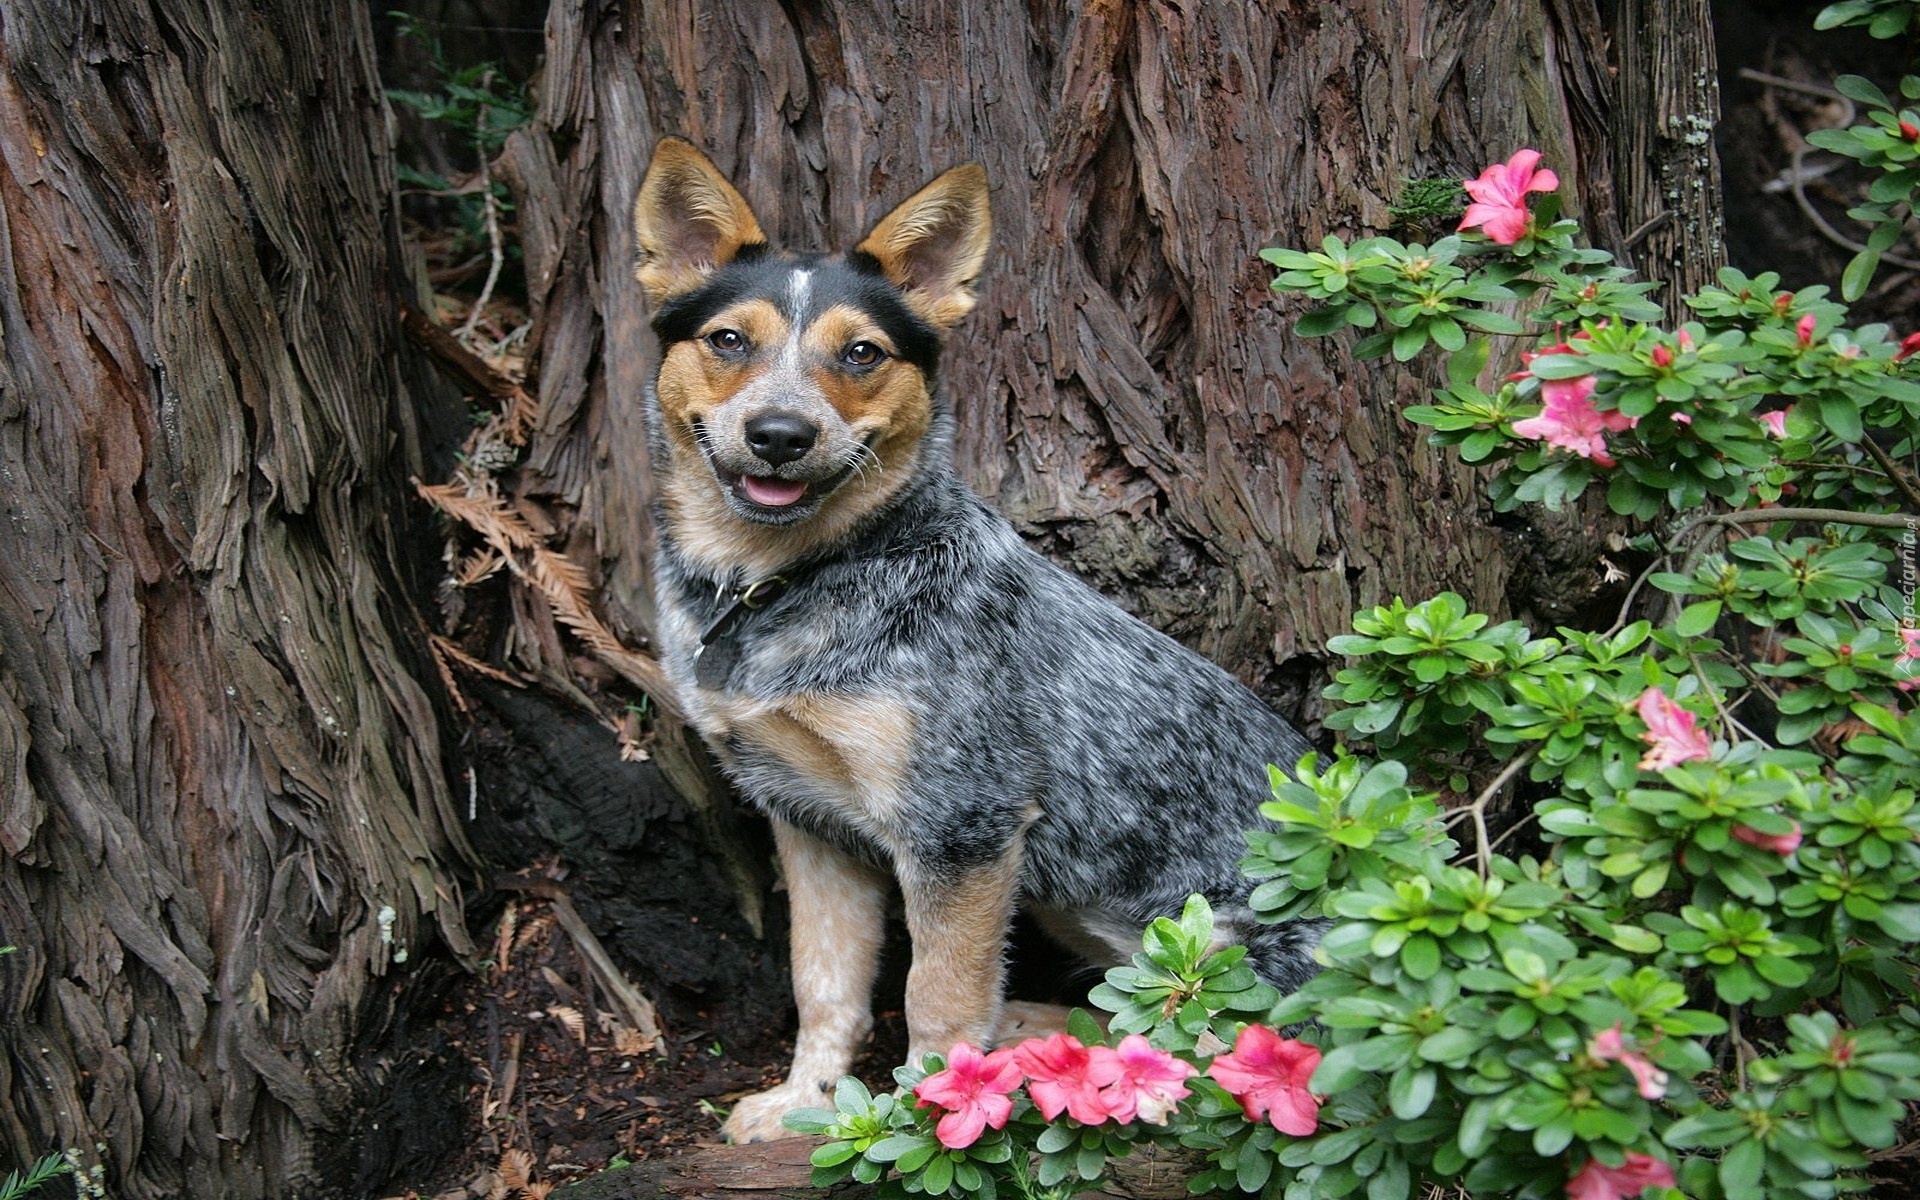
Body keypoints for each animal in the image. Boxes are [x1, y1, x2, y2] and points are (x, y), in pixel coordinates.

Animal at [629, 135, 1320, 1136]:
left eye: (863, 353)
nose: (781, 433)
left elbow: (937, 995)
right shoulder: (805, 816)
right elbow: (824, 983)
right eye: (727, 341)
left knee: (1206, 1043)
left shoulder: (964, 826)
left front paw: (931, 1117)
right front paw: (807, 1103)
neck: (777, 585)